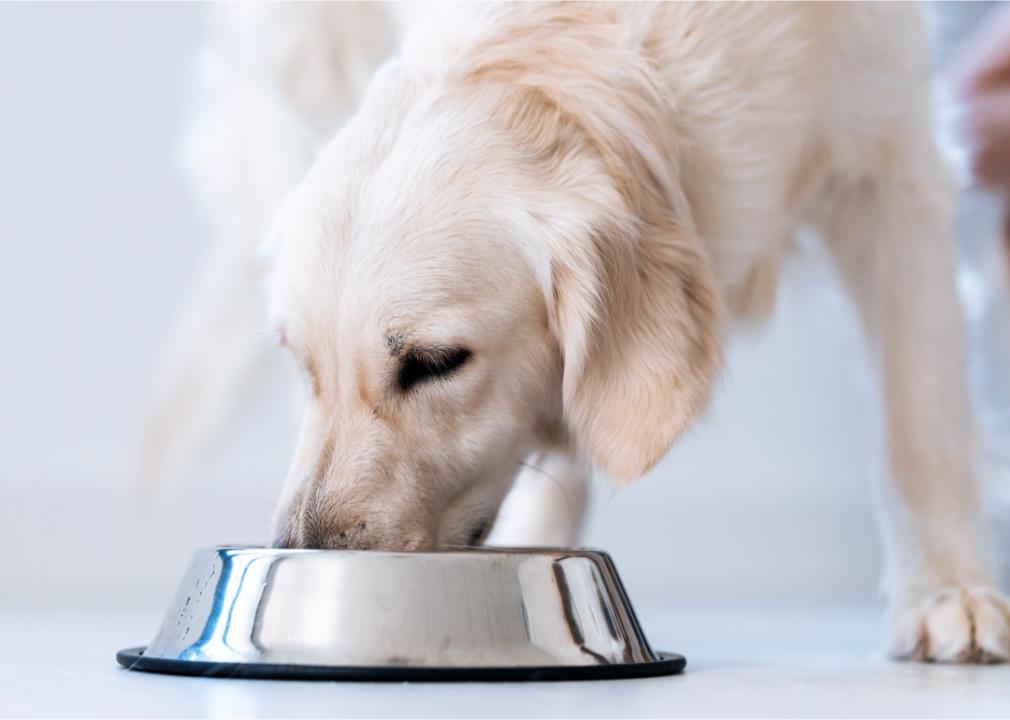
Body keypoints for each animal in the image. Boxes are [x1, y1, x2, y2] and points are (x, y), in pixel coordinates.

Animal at [142, 1, 1010, 662]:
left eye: (435, 362)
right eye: (304, 364)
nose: (304, 553)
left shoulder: (893, 163)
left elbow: (920, 422)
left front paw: (948, 591)